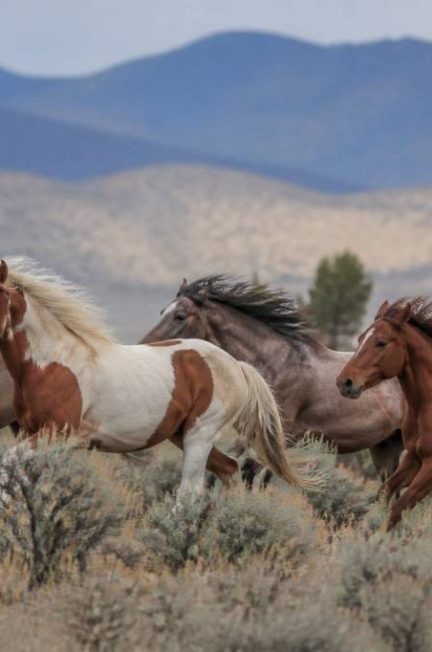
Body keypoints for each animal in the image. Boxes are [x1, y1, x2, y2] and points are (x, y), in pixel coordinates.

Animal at [0, 257, 317, 499]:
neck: (54, 361)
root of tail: (237, 365)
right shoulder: (28, 431)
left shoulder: (57, 432)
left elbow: (8, 465)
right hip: (181, 434)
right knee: (229, 469)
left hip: (200, 434)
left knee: (190, 491)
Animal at [142, 275, 404, 479]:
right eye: (162, 311)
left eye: (180, 316)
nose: (144, 346)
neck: (277, 364)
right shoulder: (250, 437)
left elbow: (250, 473)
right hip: (385, 447)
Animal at [337, 297, 432, 529]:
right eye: (360, 338)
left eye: (381, 343)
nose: (345, 382)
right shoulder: (413, 458)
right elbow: (384, 492)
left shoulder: (430, 467)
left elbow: (398, 509)